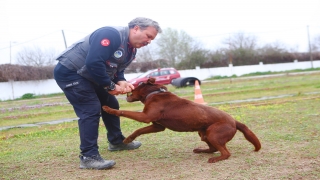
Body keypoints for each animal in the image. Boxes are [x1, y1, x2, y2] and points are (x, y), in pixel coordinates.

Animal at [104, 78, 262, 162]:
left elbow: (125, 112)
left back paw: (215, 159)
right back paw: (200, 150)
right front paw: (128, 139)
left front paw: (109, 109)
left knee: (225, 153)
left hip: (213, 133)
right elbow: (139, 130)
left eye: (138, 84)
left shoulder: (145, 117)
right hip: (204, 133)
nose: (128, 85)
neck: (154, 93)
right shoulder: (157, 126)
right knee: (212, 149)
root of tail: (235, 121)